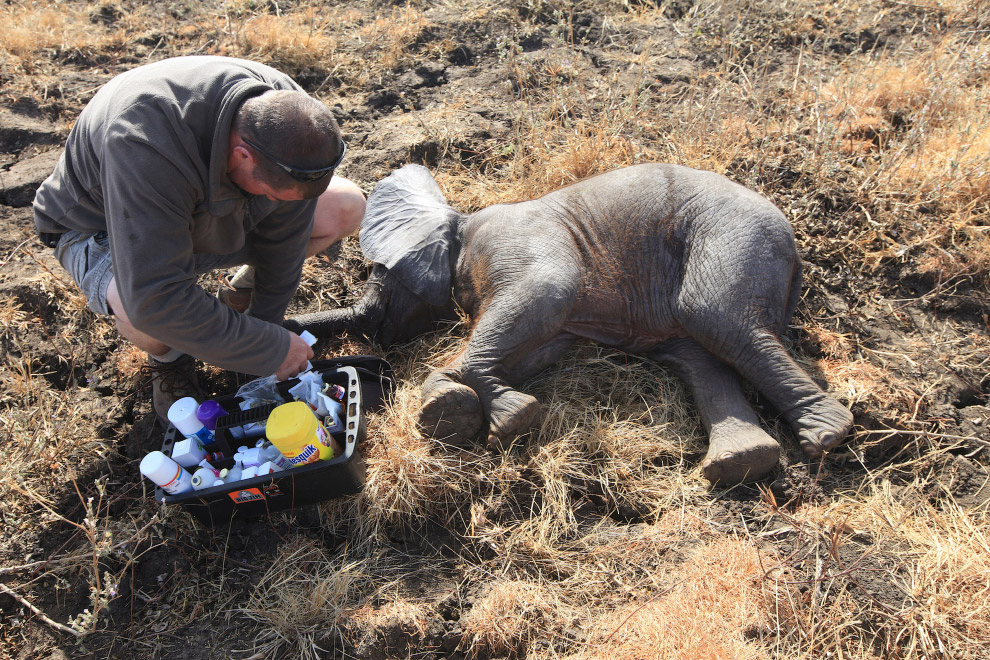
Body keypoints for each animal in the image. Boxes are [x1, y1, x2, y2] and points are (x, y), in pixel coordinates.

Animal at [286, 164, 852, 484]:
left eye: (379, 279)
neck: (460, 221)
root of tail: (795, 249)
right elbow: (531, 347)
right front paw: (479, 409)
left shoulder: (513, 245)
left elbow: (546, 292)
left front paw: (465, 408)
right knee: (701, 354)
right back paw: (743, 463)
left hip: (733, 234)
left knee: (715, 316)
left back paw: (826, 435)